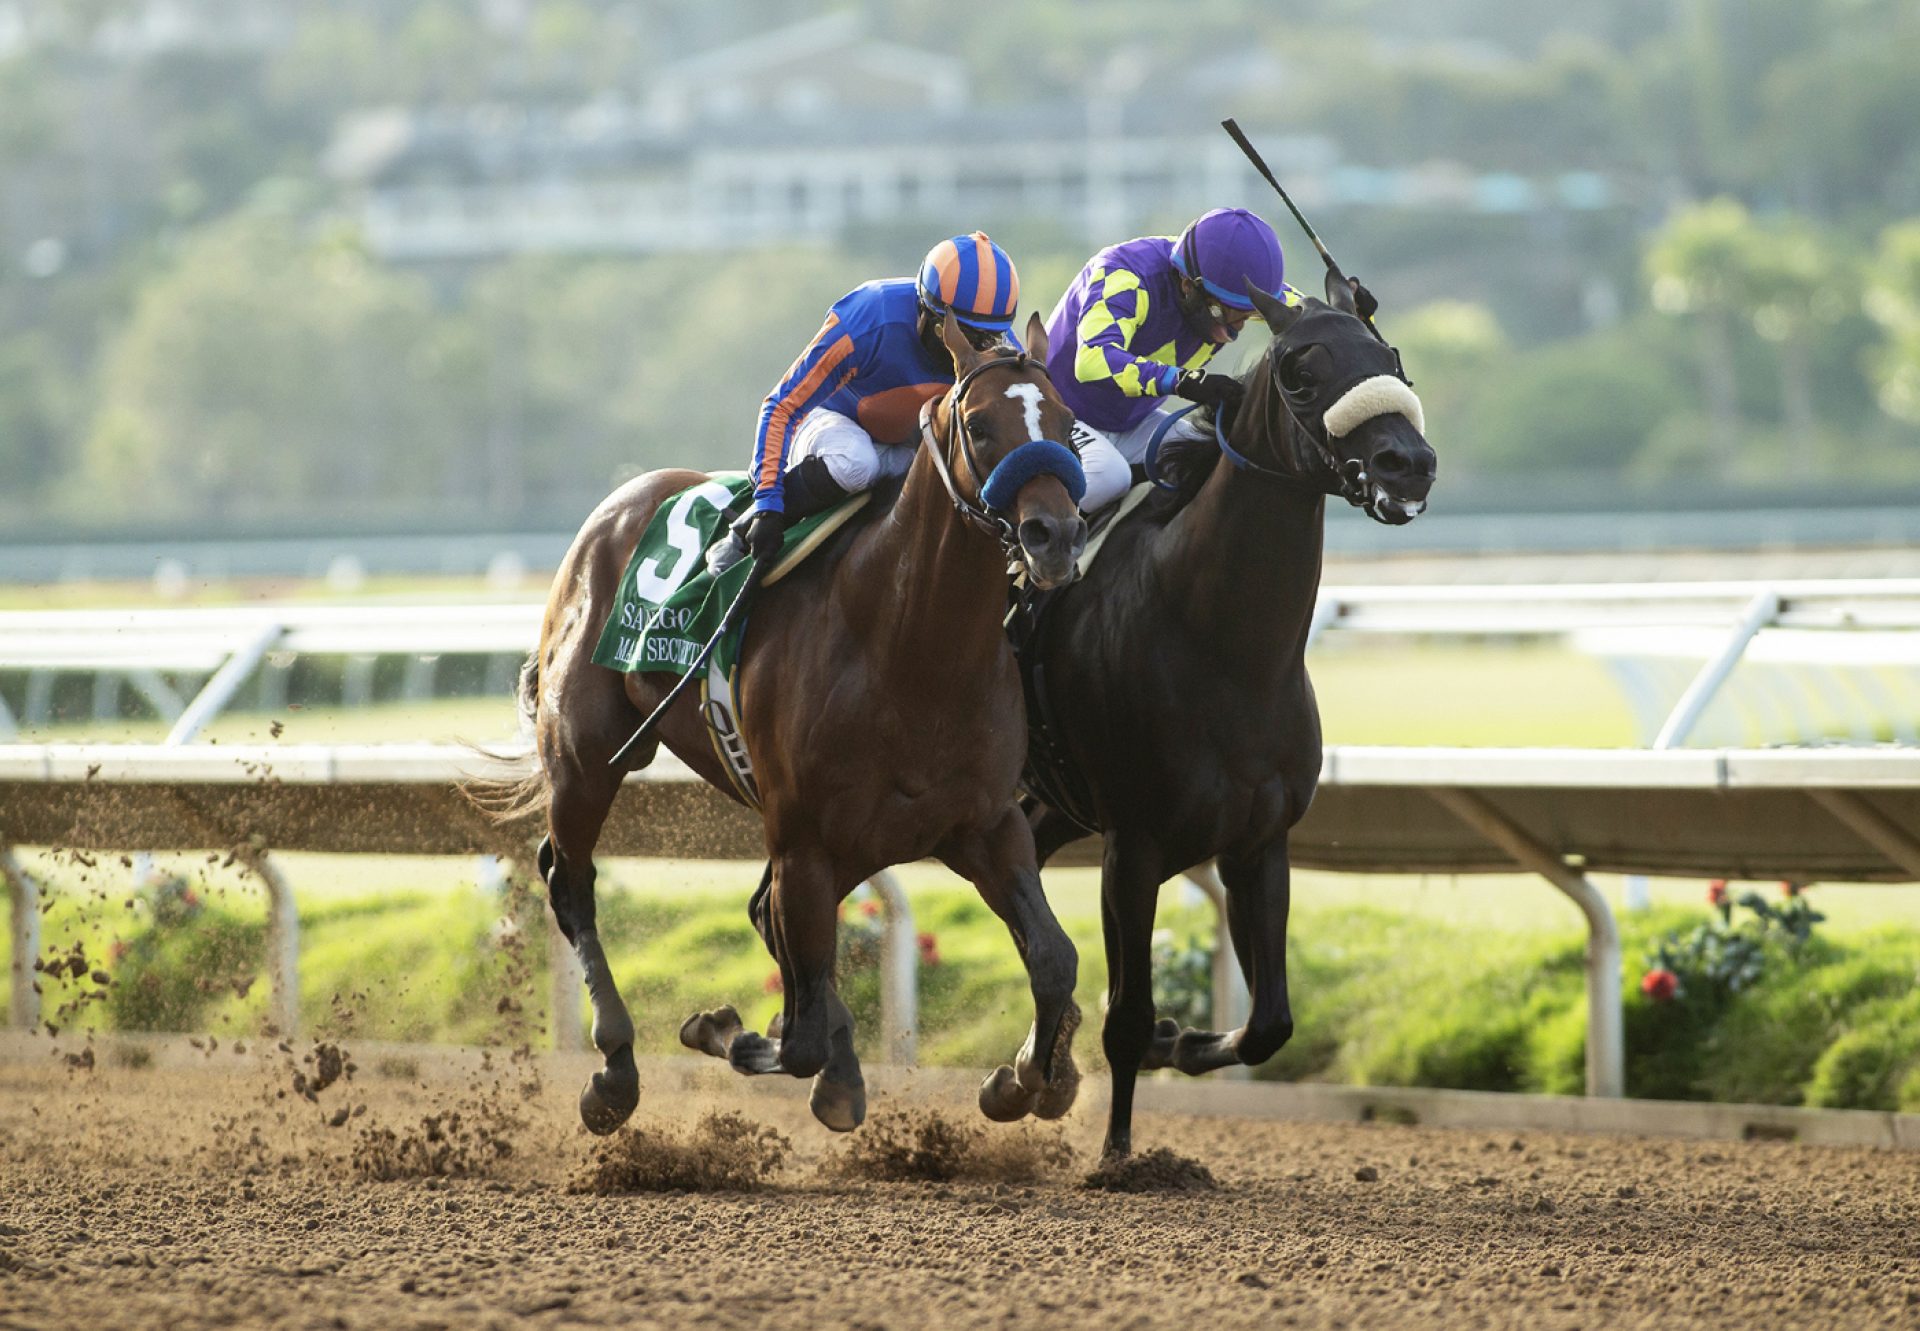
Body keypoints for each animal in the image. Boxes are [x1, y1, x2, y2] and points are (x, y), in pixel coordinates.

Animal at [499, 311, 1098, 1129]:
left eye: (1068, 424)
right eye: (978, 425)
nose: (1055, 535)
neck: (911, 647)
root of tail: (614, 508)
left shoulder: (983, 823)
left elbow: (1054, 957)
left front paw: (1025, 1081)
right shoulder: (804, 838)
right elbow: (800, 1032)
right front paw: (729, 1029)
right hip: (586, 758)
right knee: (571, 881)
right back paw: (616, 1068)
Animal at [1029, 274, 1436, 1160]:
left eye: (1388, 355)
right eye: (1298, 372)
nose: (1409, 463)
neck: (1222, 648)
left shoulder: (1258, 839)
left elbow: (1269, 1023)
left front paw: (1180, 1041)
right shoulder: (1134, 845)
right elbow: (1126, 1013)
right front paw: (1117, 1155)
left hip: (1044, 811)